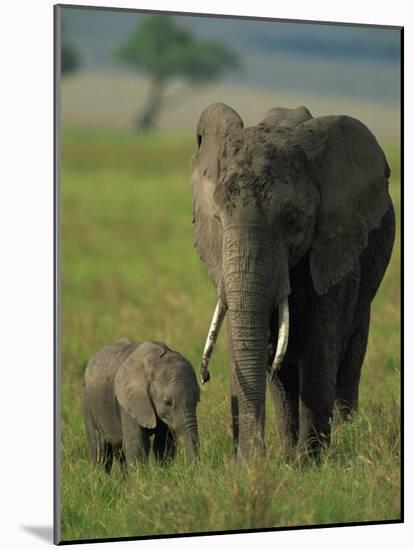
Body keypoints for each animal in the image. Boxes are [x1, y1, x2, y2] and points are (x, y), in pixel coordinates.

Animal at [81, 340, 201, 474]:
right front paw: (141, 479)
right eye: (168, 402)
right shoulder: (129, 402)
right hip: (88, 403)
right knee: (100, 450)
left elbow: (163, 445)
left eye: (197, 400)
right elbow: (137, 446)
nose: (195, 470)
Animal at [191, 101, 394, 464]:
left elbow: (320, 347)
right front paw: (269, 465)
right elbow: (257, 345)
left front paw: (311, 463)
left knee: (350, 355)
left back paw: (345, 434)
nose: (248, 458)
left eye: (294, 221)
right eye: (217, 217)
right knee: (283, 371)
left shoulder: (335, 248)